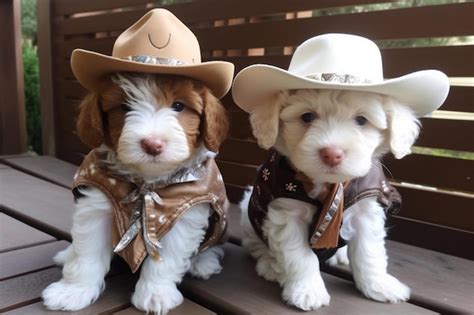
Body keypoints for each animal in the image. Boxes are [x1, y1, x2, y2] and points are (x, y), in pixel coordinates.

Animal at [41, 74, 231, 315]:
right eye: (124, 107)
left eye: (178, 106)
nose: (153, 144)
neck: (146, 182)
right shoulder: (96, 204)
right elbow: (87, 253)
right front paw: (73, 291)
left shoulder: (183, 216)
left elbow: (166, 259)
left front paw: (155, 294)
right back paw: (67, 254)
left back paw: (203, 263)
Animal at [241, 89, 418, 312]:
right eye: (307, 117)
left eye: (361, 120)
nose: (332, 154)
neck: (331, 186)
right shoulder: (288, 214)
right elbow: (299, 255)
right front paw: (307, 291)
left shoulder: (365, 211)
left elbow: (369, 252)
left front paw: (379, 285)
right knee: (257, 245)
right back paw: (271, 266)